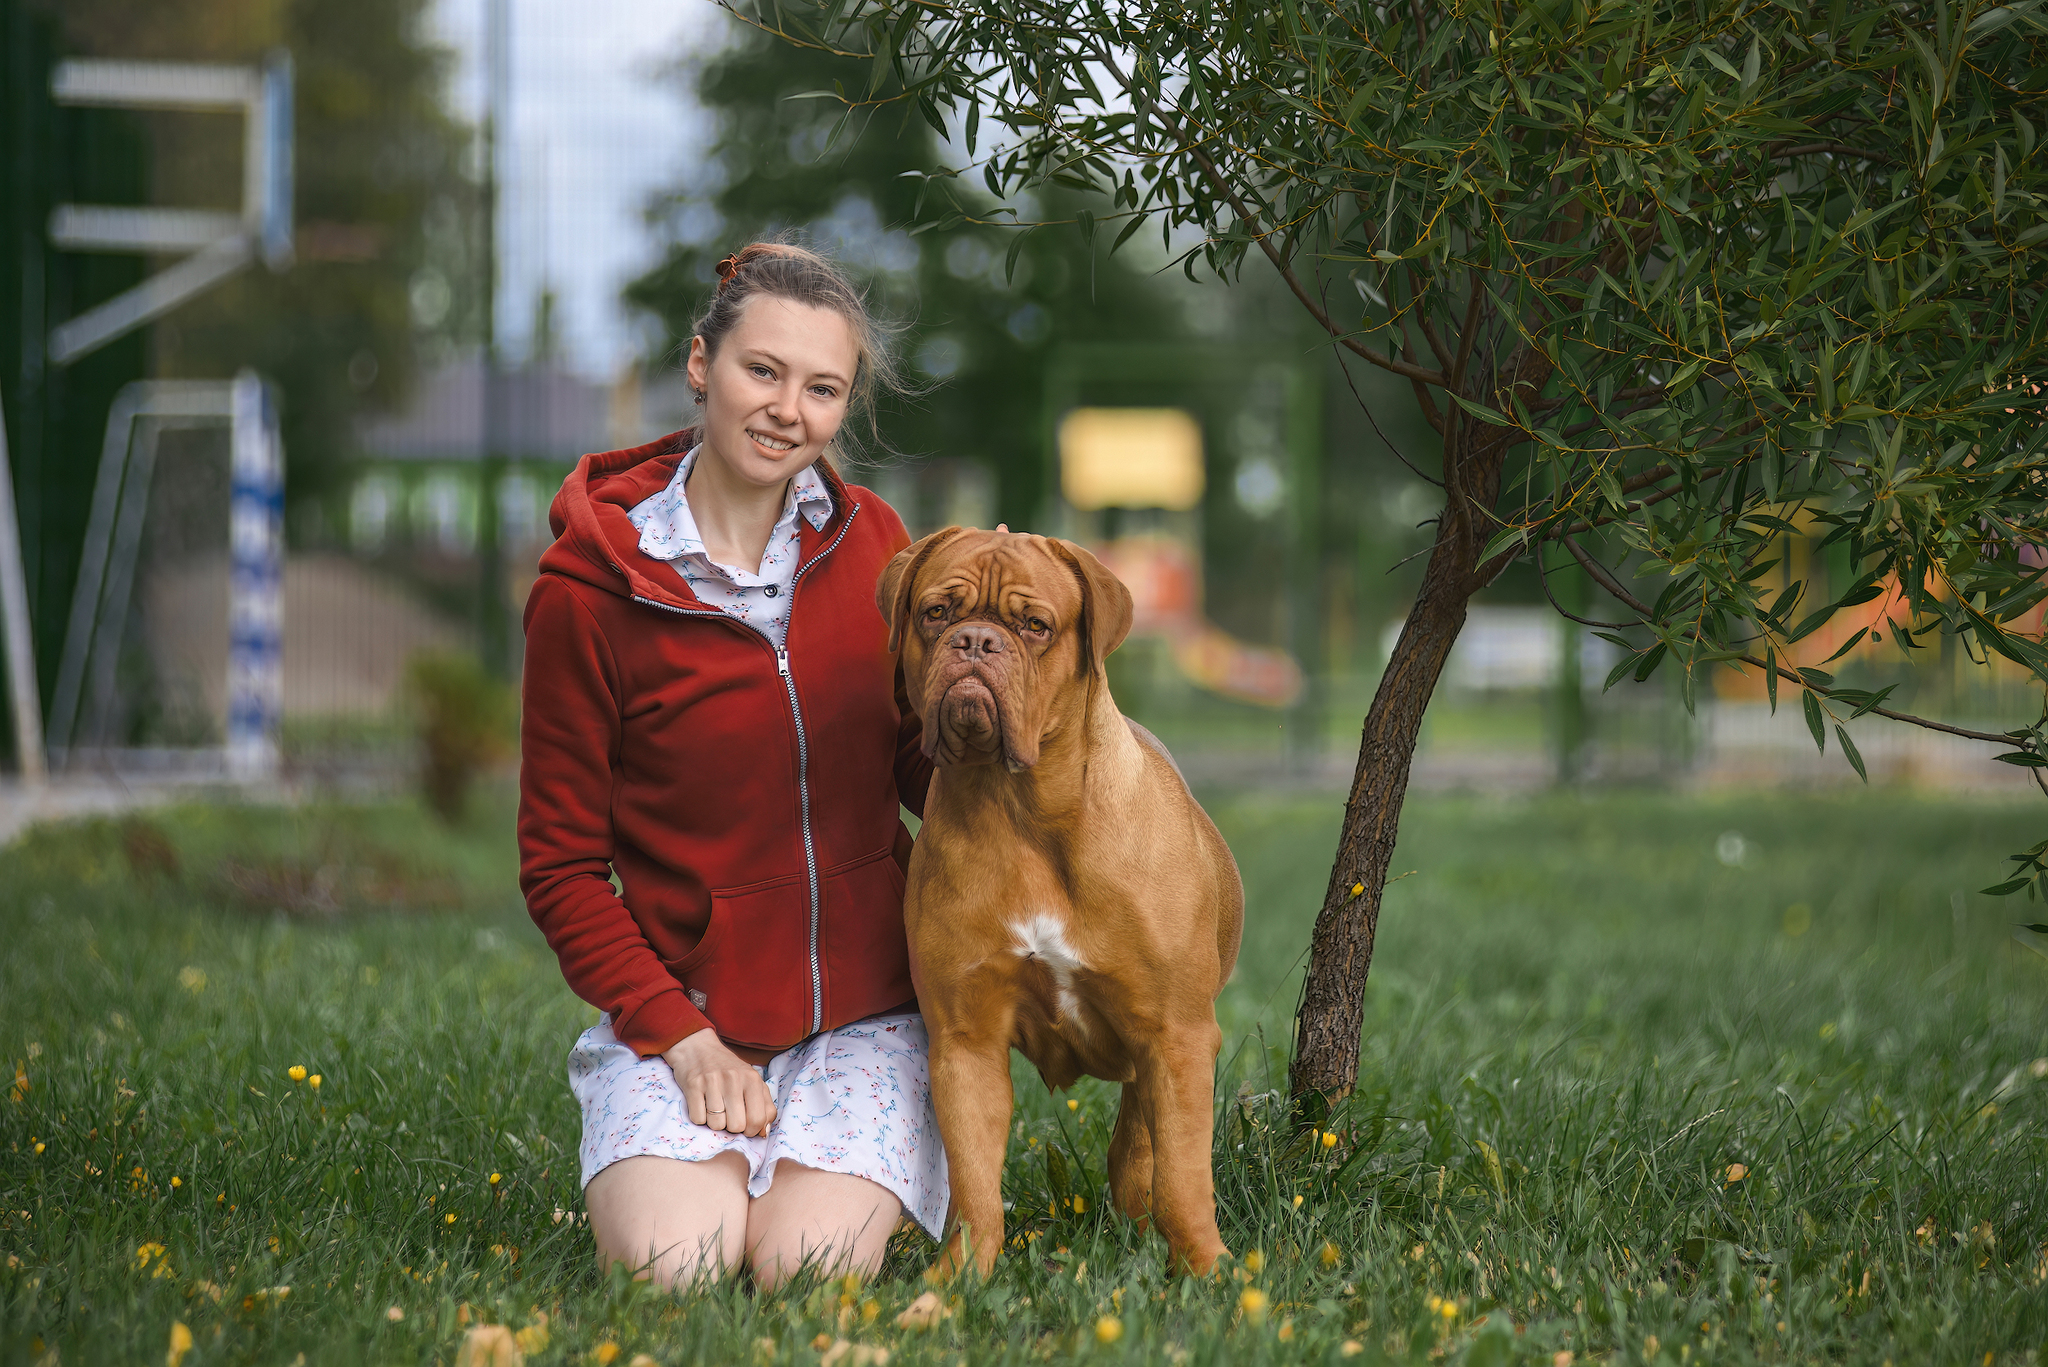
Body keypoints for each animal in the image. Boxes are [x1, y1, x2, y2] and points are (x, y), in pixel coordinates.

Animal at [872, 528, 1236, 1287]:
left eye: (1034, 625)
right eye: (935, 612)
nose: (976, 641)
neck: (1021, 808)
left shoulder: (1179, 1034)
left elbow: (1182, 1175)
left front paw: (1210, 1270)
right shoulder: (965, 1040)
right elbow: (974, 1185)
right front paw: (955, 1282)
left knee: (1140, 1147)